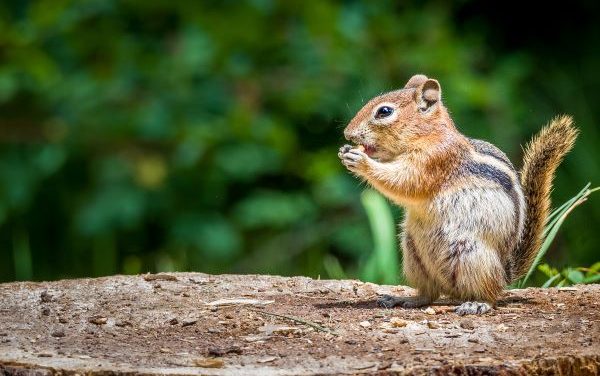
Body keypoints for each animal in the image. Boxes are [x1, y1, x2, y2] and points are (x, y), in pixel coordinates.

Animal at [338, 73, 576, 314]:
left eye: (384, 111)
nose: (347, 133)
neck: (428, 135)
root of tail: (504, 273)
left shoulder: (434, 160)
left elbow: (404, 181)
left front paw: (361, 162)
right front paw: (345, 152)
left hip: (472, 256)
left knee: (491, 294)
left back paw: (477, 303)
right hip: (413, 253)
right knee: (429, 294)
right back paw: (403, 299)